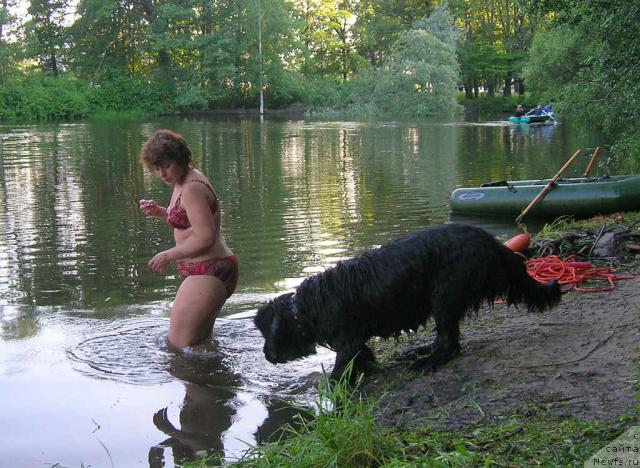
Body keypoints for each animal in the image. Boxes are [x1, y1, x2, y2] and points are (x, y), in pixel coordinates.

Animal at [255, 225, 560, 382]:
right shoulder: (356, 340)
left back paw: (427, 361)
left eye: (266, 333)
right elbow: (363, 356)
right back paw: (419, 352)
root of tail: (492, 244)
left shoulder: (347, 340)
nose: (267, 355)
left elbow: (340, 369)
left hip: (445, 293)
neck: (305, 309)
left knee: (450, 343)